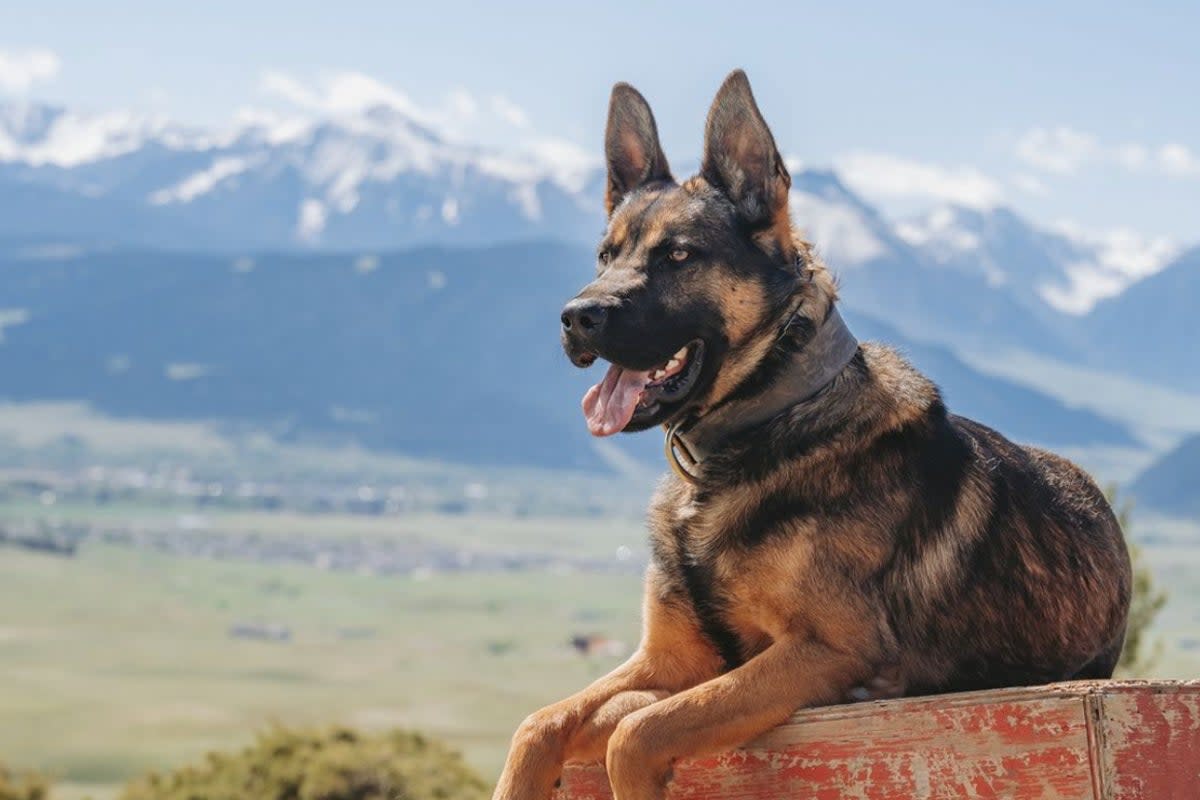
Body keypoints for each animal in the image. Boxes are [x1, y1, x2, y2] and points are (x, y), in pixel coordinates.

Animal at [492, 68, 1128, 800]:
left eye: (679, 255)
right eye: (604, 254)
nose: (575, 317)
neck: (760, 426)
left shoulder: (826, 648)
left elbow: (636, 731)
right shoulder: (667, 657)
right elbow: (537, 725)